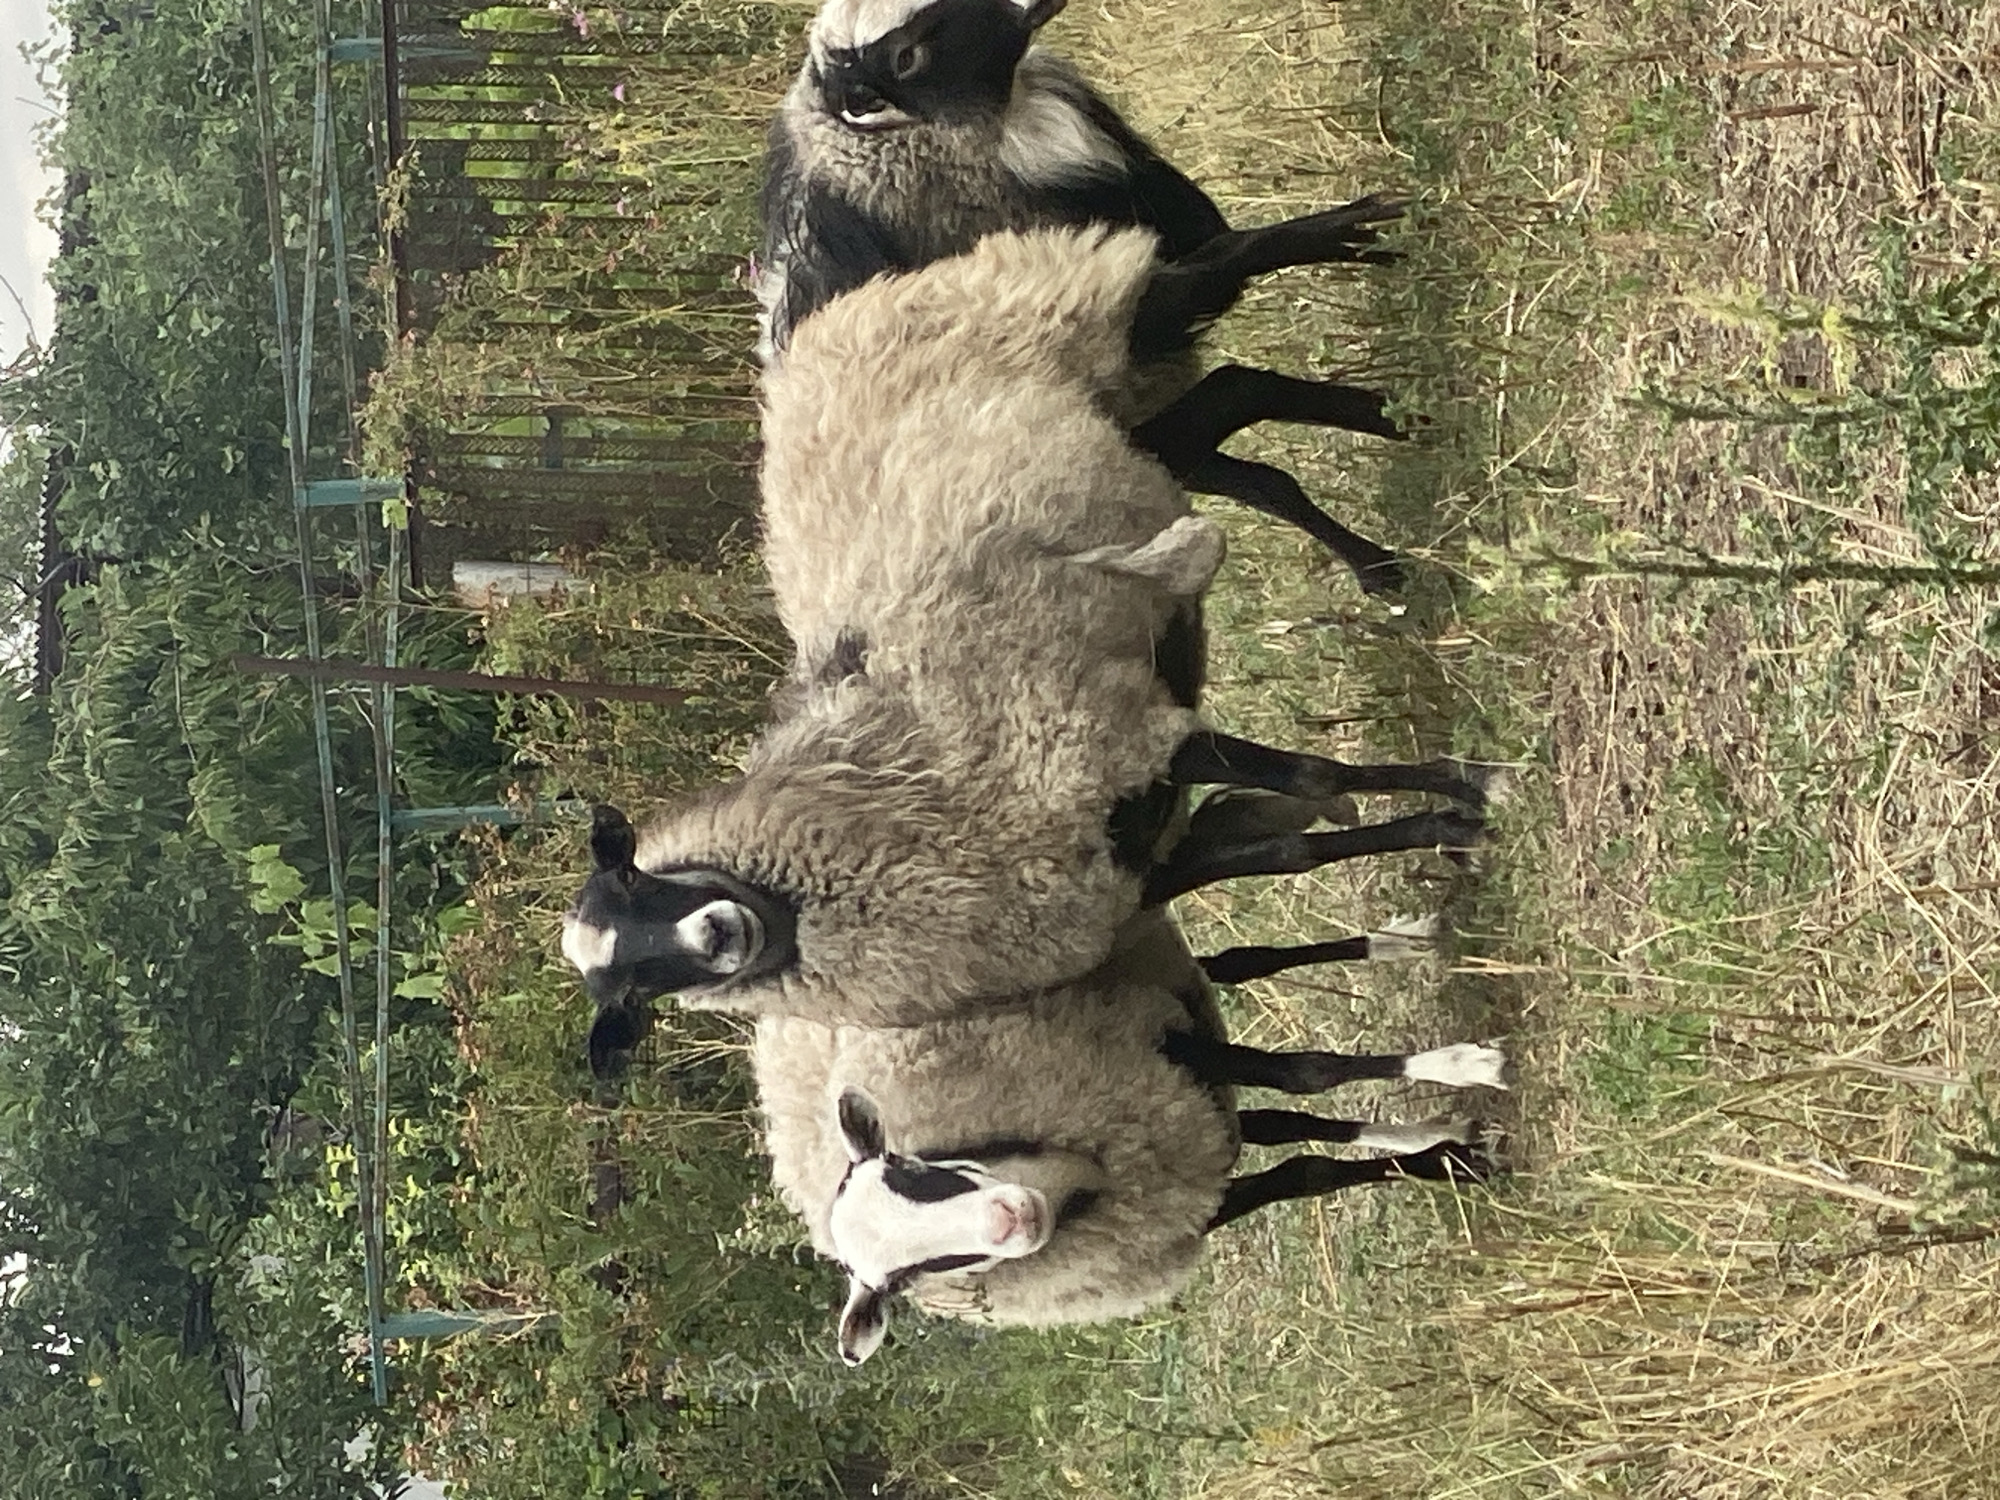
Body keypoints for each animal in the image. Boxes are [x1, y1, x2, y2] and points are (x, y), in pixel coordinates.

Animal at [564, 223, 1487, 1057]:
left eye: (640, 879)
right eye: (634, 989)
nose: (719, 935)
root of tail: (813, 328)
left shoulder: (1111, 734)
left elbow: (1312, 776)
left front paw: (1464, 796)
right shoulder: (1137, 861)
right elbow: (1289, 844)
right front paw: (1445, 826)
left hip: (1067, 306)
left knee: (1212, 269)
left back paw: (1374, 234)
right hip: (1138, 432)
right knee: (1240, 398)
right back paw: (1391, 518)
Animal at [752, 906, 1503, 1364]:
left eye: (913, 1169)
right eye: (907, 1279)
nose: (1009, 1220)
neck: (1074, 1182)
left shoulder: (1154, 1042)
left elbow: (1304, 1073)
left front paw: (1463, 1068)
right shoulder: (1184, 1203)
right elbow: (1303, 1169)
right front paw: (1449, 1158)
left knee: (1242, 964)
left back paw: (1402, 944)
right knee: (1267, 1118)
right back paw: (1421, 1132)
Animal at [759, 0, 1411, 593]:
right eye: (905, 57)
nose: (1037, 1)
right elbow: (1237, 276)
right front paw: (1362, 226)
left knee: (1250, 443)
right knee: (1236, 406)